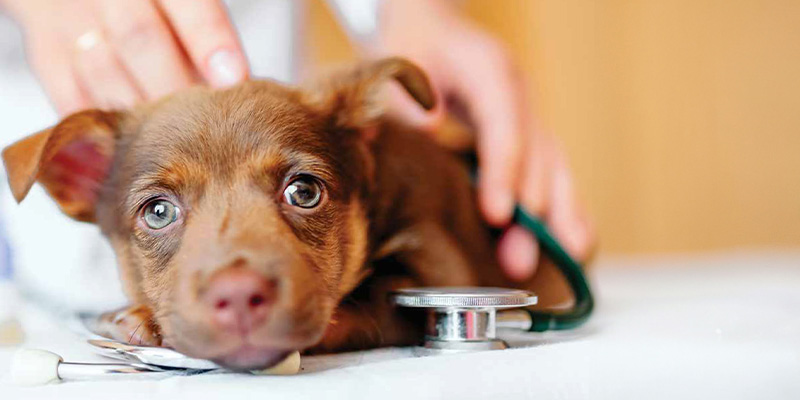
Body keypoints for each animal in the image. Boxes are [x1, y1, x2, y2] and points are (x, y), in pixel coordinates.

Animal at [3, 57, 572, 370]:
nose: (238, 296)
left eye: (303, 191)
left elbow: (372, 298)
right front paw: (132, 316)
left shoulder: (436, 260)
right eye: (159, 212)